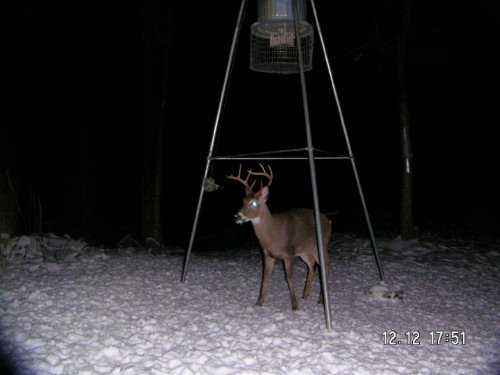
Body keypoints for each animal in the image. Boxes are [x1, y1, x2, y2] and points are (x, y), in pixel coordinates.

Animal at [228, 164, 332, 312]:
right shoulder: (267, 253)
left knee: (326, 265)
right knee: (312, 265)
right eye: (243, 201)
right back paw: (305, 295)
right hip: (305, 251)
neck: (273, 235)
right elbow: (265, 277)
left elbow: (289, 278)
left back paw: (321, 300)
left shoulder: (289, 253)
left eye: (254, 203)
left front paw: (294, 305)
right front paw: (259, 302)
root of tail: (329, 221)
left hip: (321, 244)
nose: (237, 217)